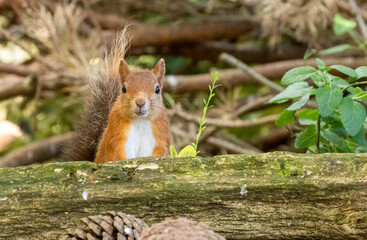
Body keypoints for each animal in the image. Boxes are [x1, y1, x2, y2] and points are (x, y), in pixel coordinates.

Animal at [63, 31, 171, 163]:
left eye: (157, 89)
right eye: (123, 89)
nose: (140, 102)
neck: (140, 120)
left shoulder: (161, 132)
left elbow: (162, 152)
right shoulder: (116, 132)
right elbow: (115, 154)